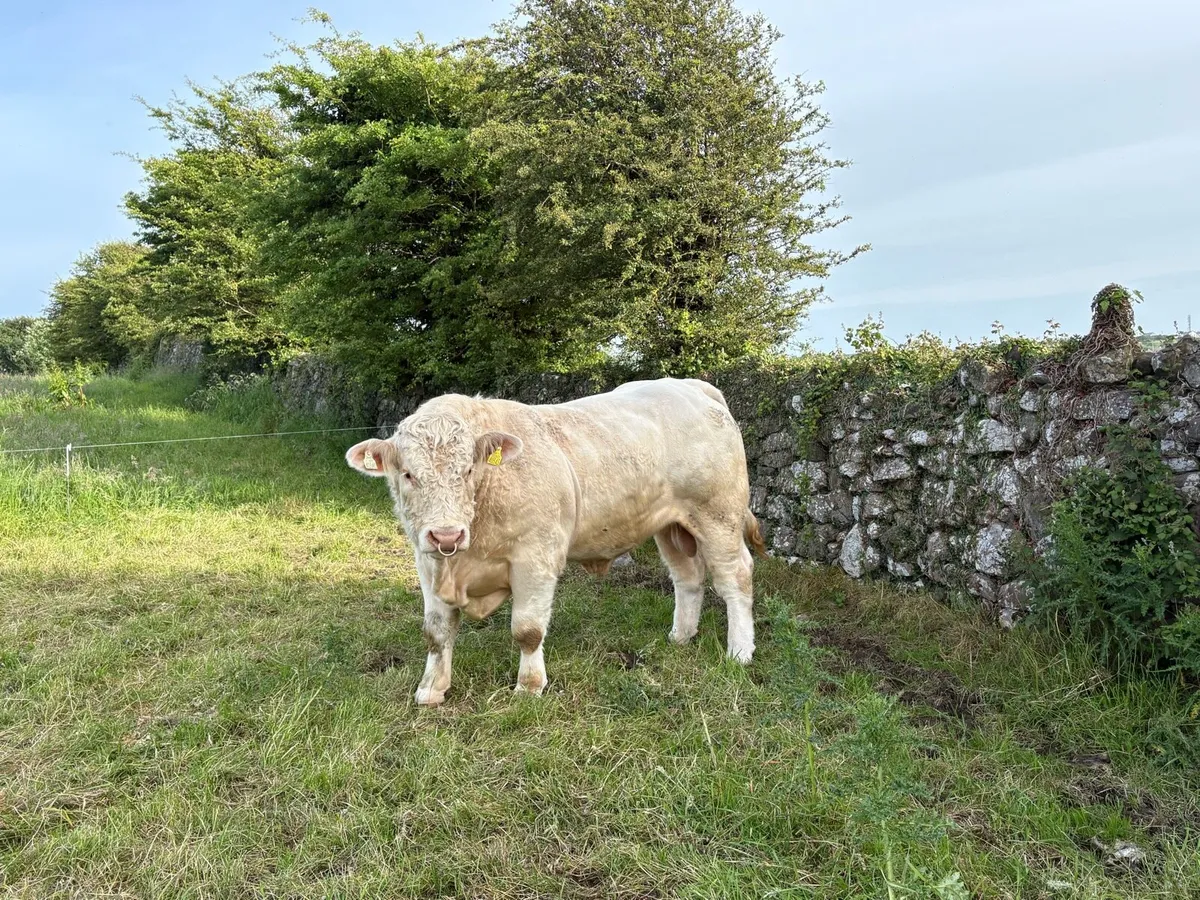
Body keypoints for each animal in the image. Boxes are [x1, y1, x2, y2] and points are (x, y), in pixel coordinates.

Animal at [345, 377, 765, 706]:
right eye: (408, 474)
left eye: (467, 470)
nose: (447, 533)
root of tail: (691, 386)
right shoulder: (428, 561)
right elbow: (436, 633)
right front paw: (431, 688)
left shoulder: (535, 556)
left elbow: (527, 629)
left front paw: (529, 686)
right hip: (671, 524)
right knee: (687, 577)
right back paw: (681, 636)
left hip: (719, 514)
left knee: (735, 577)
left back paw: (740, 651)